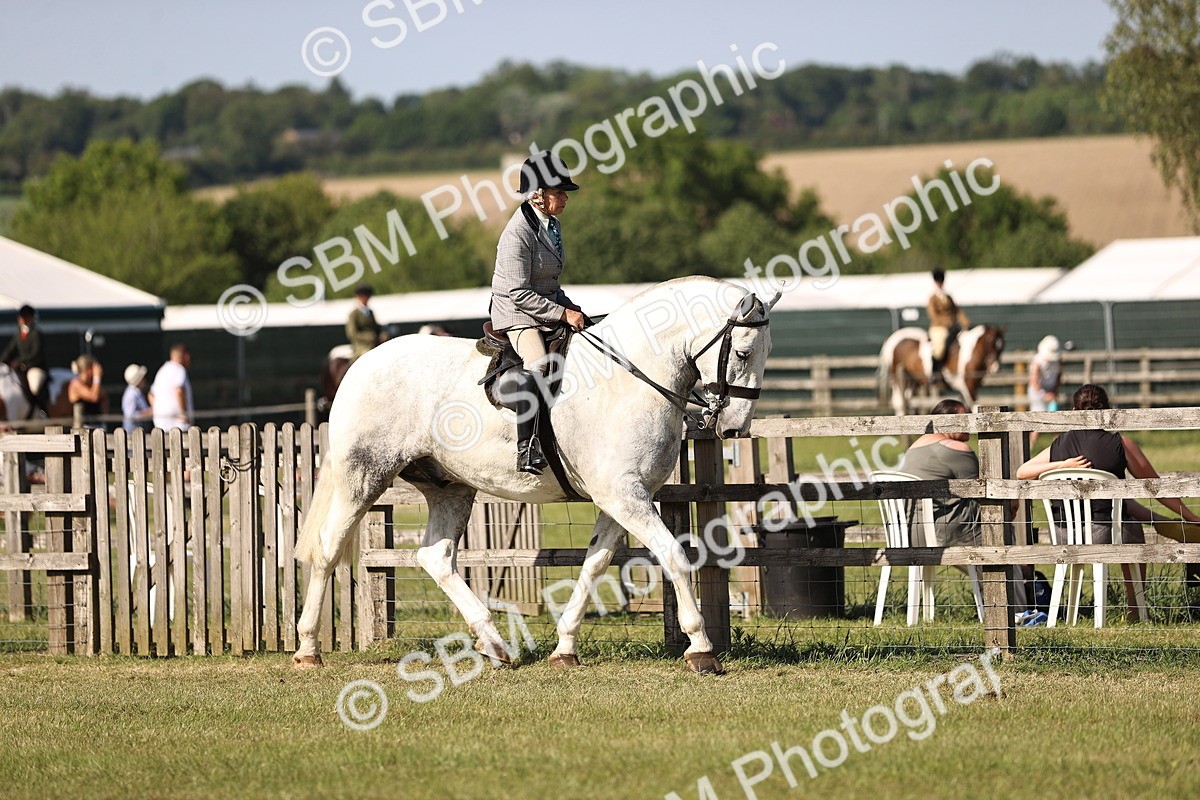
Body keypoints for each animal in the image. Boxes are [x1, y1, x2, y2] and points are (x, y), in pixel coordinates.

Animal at [294, 276, 780, 674]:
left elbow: (595, 564)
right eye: (742, 351)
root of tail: (362, 364)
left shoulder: (618, 499)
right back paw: (307, 649)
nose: (734, 428)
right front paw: (701, 648)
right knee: (328, 549)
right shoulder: (626, 496)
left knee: (435, 557)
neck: (627, 379)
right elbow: (675, 556)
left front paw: (564, 648)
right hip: (363, 478)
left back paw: (493, 643)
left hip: (450, 487)